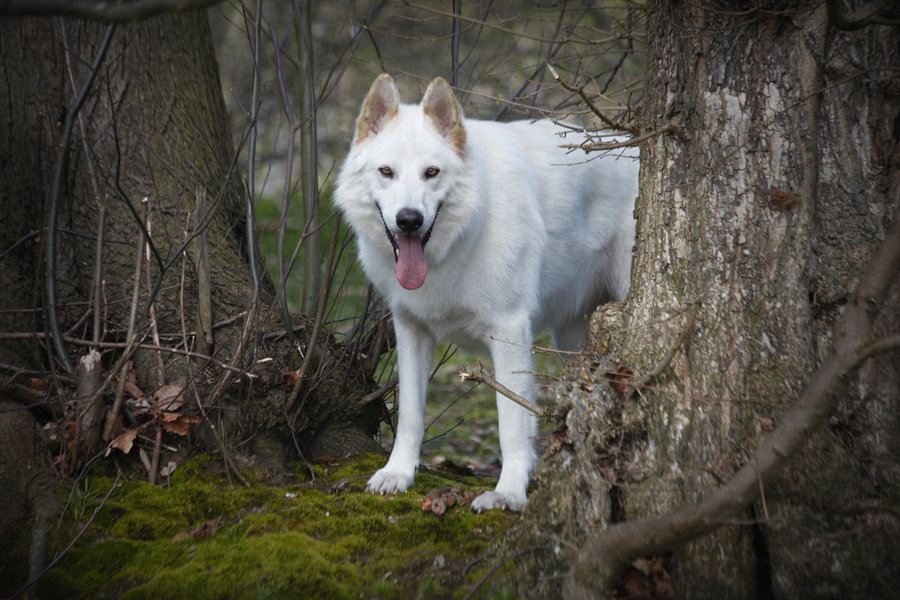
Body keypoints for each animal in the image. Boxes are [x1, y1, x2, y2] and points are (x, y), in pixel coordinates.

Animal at [334, 75, 636, 510]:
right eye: (386, 172)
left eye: (431, 172)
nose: (409, 220)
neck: (458, 242)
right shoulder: (411, 331)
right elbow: (410, 415)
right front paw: (398, 474)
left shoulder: (509, 333)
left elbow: (511, 422)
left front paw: (508, 493)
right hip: (572, 340)